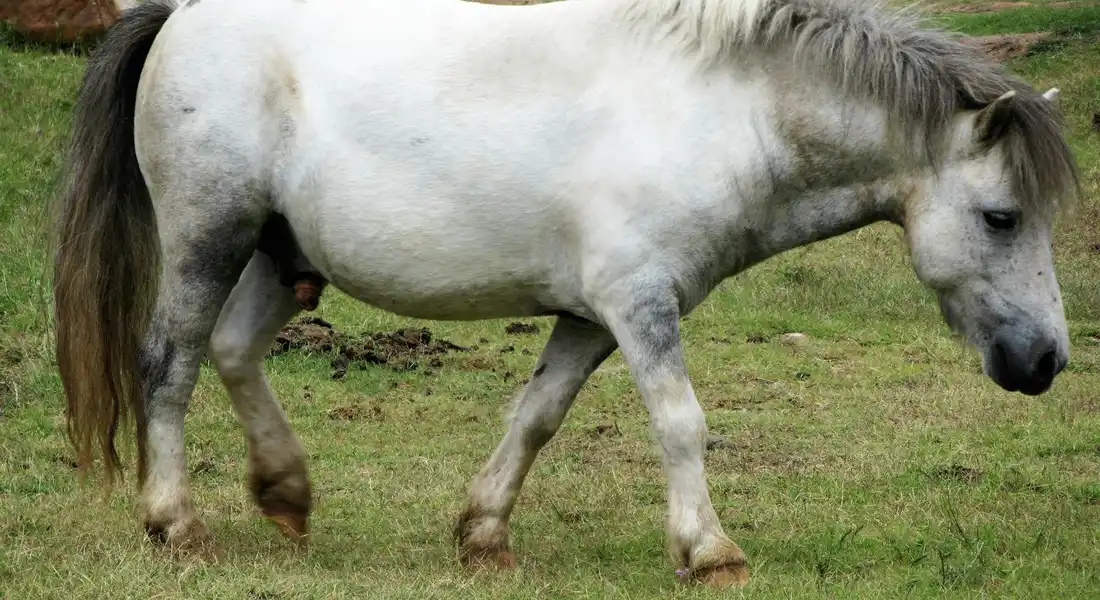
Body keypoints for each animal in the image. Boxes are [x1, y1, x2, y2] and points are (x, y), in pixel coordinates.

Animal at [51, 0, 1079, 586]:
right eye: (1001, 218)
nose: (1046, 361)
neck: (717, 113)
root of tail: (179, 16)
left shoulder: (590, 317)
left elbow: (536, 417)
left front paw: (484, 534)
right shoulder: (639, 304)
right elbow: (681, 422)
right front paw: (709, 552)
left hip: (279, 256)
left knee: (230, 354)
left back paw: (286, 492)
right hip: (209, 240)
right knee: (169, 365)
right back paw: (176, 523)